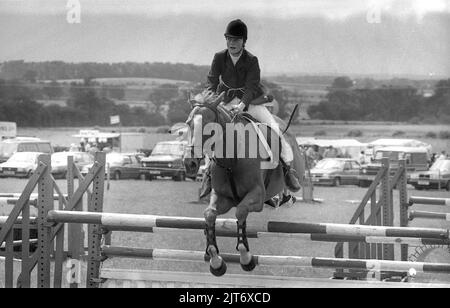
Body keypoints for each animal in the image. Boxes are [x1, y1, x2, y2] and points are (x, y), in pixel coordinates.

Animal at [184, 91, 306, 276]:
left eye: (209, 126)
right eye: (188, 124)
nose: (189, 163)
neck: (231, 161)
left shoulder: (256, 196)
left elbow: (240, 212)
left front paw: (246, 258)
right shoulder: (223, 197)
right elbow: (209, 214)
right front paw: (216, 262)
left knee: (288, 182)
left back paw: (286, 194)